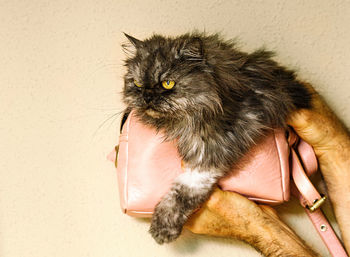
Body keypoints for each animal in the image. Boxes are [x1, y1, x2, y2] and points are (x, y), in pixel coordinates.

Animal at [121, 32, 312, 244]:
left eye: (167, 83)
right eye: (137, 84)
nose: (146, 96)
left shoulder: (210, 154)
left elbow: (181, 193)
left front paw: (163, 228)